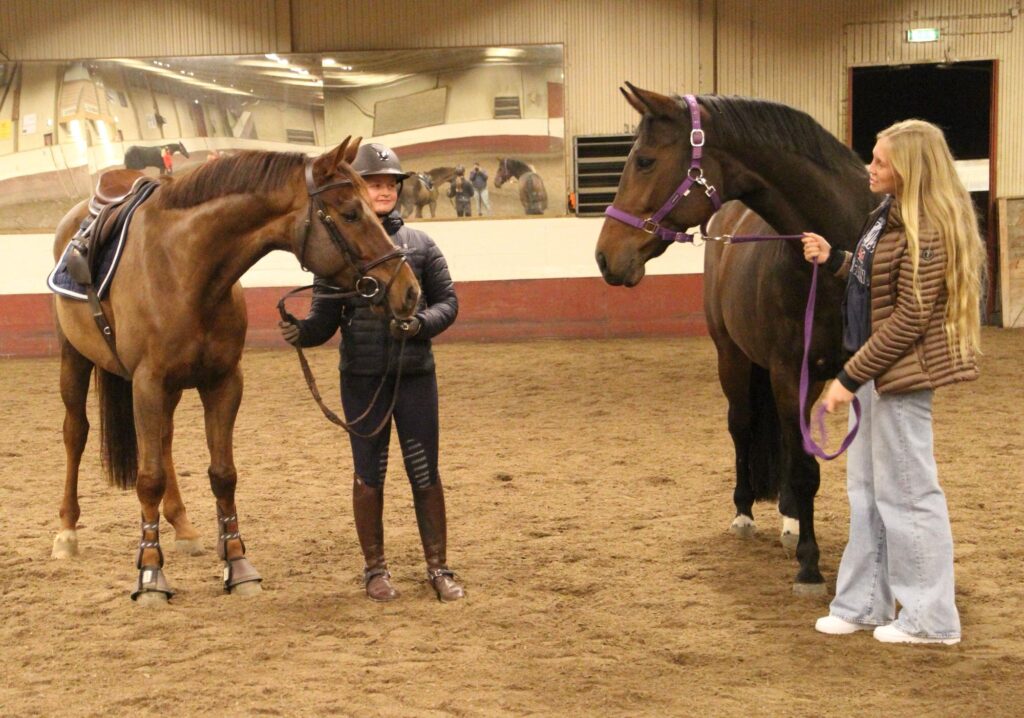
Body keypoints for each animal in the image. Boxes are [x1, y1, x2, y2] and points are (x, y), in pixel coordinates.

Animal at [50, 137, 419, 602]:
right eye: (351, 212)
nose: (410, 291)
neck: (185, 267)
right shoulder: (148, 382)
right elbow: (148, 478)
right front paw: (150, 574)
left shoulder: (222, 382)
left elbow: (223, 475)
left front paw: (238, 564)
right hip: (75, 357)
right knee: (75, 432)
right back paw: (66, 532)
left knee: (164, 441)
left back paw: (183, 526)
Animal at [598, 83, 876, 589]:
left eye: (644, 160)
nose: (605, 255)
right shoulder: (789, 371)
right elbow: (803, 467)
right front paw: (809, 565)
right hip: (733, 357)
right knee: (743, 426)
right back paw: (746, 512)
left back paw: (789, 516)